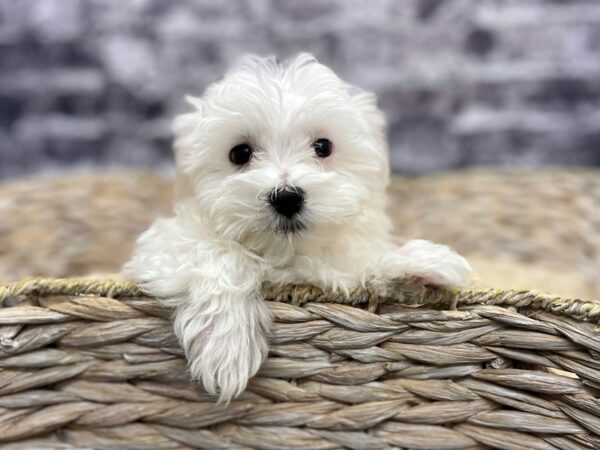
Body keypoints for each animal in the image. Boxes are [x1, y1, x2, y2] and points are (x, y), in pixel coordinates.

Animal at [124, 52, 474, 400]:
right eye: (240, 153)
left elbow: (358, 270)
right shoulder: (167, 243)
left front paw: (417, 264)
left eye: (323, 147)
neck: (285, 254)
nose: (287, 197)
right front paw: (226, 344)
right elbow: (219, 256)